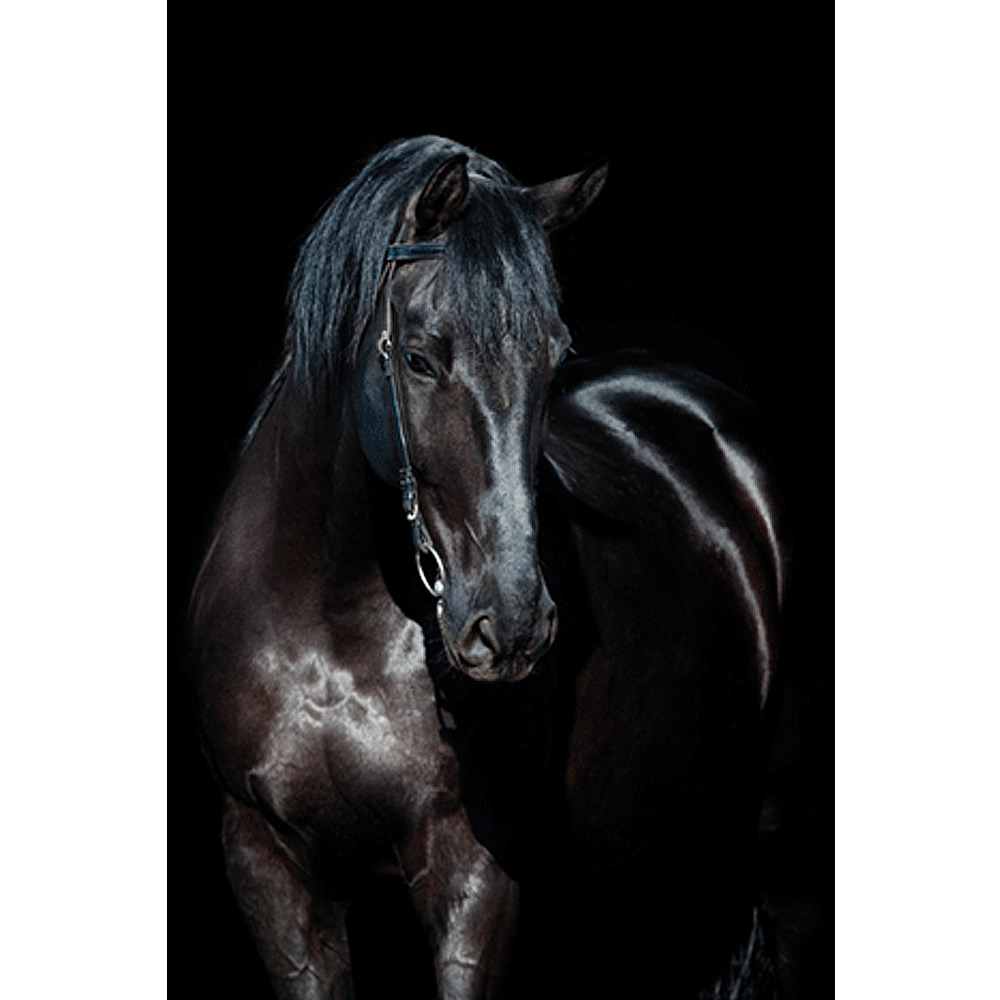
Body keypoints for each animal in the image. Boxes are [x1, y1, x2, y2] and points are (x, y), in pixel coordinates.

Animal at [186, 135, 823, 998]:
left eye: (554, 357)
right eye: (419, 357)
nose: (513, 623)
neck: (330, 624)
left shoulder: (473, 871)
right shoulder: (271, 870)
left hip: (782, 830)